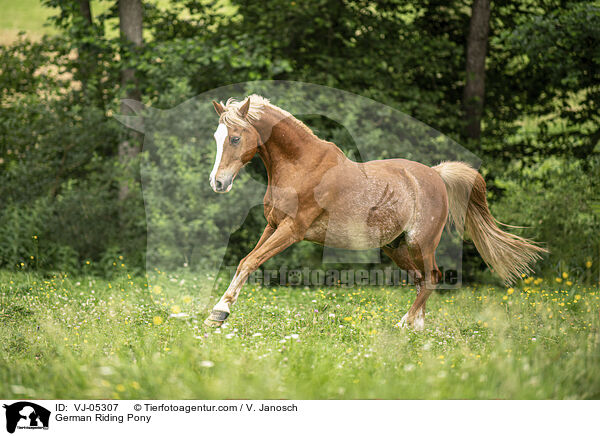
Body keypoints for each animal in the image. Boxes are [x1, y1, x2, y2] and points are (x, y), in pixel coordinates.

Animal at [204, 93, 548, 328]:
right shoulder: (273, 226)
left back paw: (404, 324)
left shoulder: (292, 230)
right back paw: (417, 327)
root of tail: (436, 175)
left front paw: (220, 312)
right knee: (421, 280)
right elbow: (244, 261)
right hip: (396, 247)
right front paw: (217, 314)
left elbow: (251, 261)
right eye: (217, 137)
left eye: (235, 138)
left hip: (421, 242)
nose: (218, 183)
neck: (302, 166)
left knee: (432, 276)